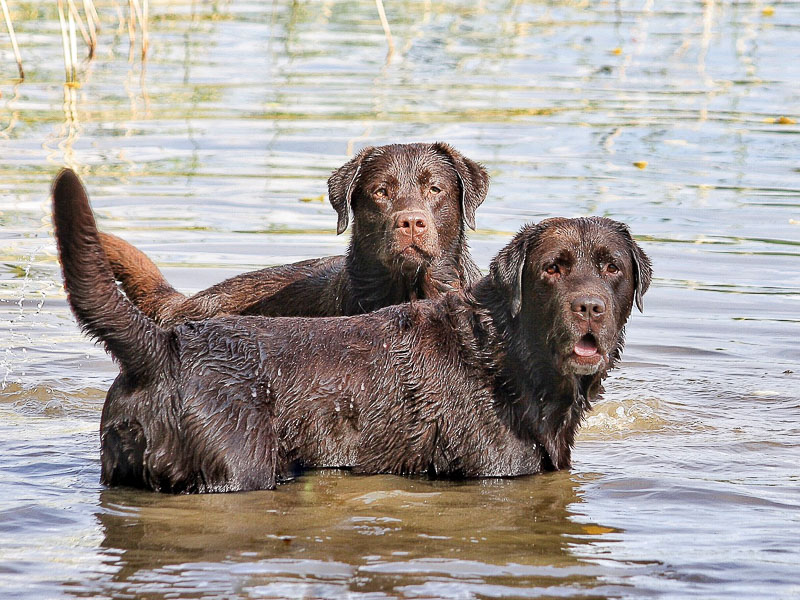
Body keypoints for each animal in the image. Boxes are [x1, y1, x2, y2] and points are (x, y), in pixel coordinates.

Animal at [53, 168, 648, 492]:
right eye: (552, 269)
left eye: (612, 267)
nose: (590, 307)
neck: (506, 352)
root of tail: (163, 346)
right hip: (237, 469)